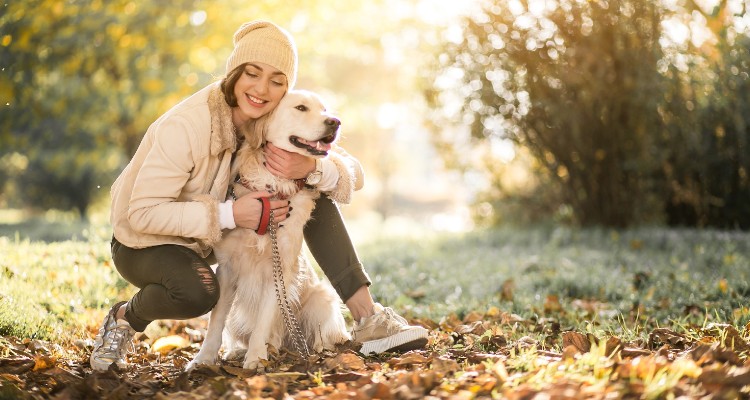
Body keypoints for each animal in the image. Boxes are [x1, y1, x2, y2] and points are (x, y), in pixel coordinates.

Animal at [188, 89, 352, 370]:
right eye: (301, 108)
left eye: (324, 109)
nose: (335, 122)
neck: (272, 187)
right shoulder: (227, 269)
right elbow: (216, 320)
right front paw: (204, 358)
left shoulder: (279, 269)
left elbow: (264, 319)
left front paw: (256, 357)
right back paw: (240, 351)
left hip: (321, 298)